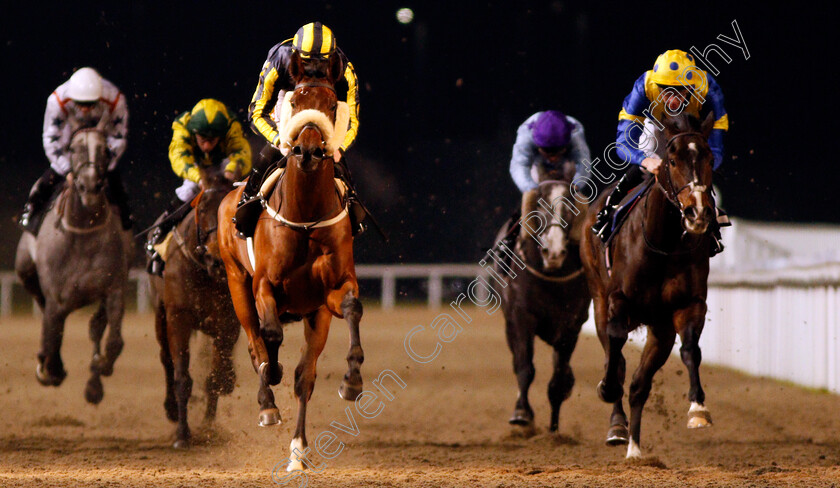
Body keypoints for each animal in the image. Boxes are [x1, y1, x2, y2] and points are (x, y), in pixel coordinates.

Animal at [14, 127, 130, 404]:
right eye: (73, 149)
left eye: (105, 149)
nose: (90, 186)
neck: (83, 235)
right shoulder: (57, 299)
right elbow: (52, 333)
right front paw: (51, 369)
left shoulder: (114, 289)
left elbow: (113, 341)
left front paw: (99, 369)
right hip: (25, 270)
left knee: (96, 328)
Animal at [148, 170, 238, 448]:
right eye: (204, 207)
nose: (217, 257)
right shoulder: (178, 317)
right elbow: (182, 378)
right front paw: (182, 433)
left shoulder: (228, 323)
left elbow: (216, 379)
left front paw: (209, 427)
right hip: (160, 315)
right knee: (165, 359)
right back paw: (171, 409)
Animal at [218, 50, 362, 472]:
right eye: (296, 101)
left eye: (331, 104)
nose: (309, 151)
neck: (306, 215)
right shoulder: (264, 286)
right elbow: (268, 338)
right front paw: (271, 378)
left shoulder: (327, 296)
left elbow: (351, 307)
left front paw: (352, 379)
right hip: (236, 283)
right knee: (256, 341)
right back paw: (267, 403)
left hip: (313, 315)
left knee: (304, 376)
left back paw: (298, 449)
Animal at [496, 179, 588, 430]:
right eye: (540, 205)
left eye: (570, 206)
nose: (554, 251)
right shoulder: (521, 317)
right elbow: (524, 366)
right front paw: (521, 413)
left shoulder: (572, 324)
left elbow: (559, 377)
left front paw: (554, 427)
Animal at [584, 112, 716, 460]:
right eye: (672, 160)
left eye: (710, 157)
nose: (698, 212)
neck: (663, 243)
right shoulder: (618, 301)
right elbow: (616, 348)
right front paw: (607, 388)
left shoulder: (688, 305)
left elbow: (690, 350)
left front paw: (698, 409)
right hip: (598, 297)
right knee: (614, 357)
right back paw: (618, 428)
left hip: (660, 329)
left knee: (639, 385)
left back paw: (634, 447)